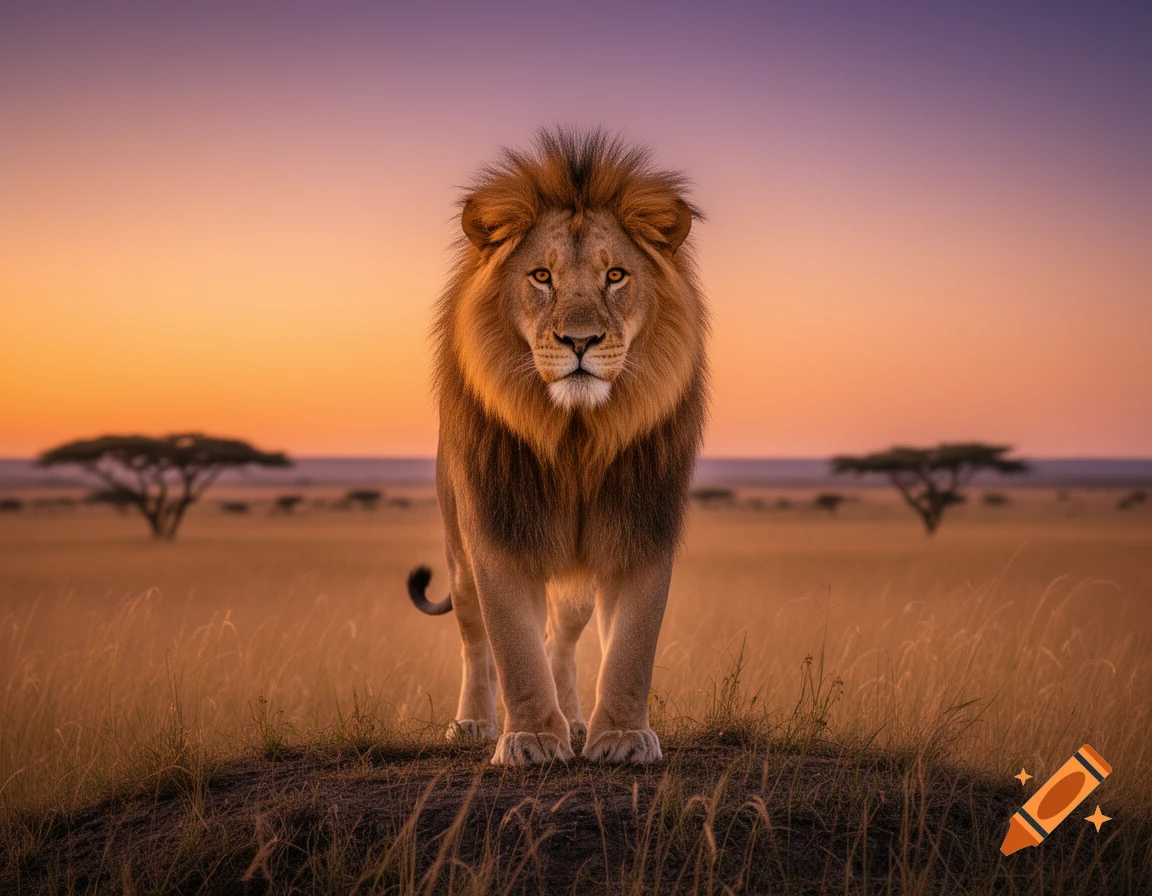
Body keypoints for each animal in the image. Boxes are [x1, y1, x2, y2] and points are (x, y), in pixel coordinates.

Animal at [407, 130, 709, 766]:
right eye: (541, 276)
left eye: (615, 275)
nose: (580, 340)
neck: (574, 436)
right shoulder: (496, 527)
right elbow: (513, 647)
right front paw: (529, 740)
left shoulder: (642, 523)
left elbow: (631, 647)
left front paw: (619, 737)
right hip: (456, 553)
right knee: (475, 638)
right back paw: (474, 723)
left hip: (575, 588)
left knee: (561, 637)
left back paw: (572, 719)